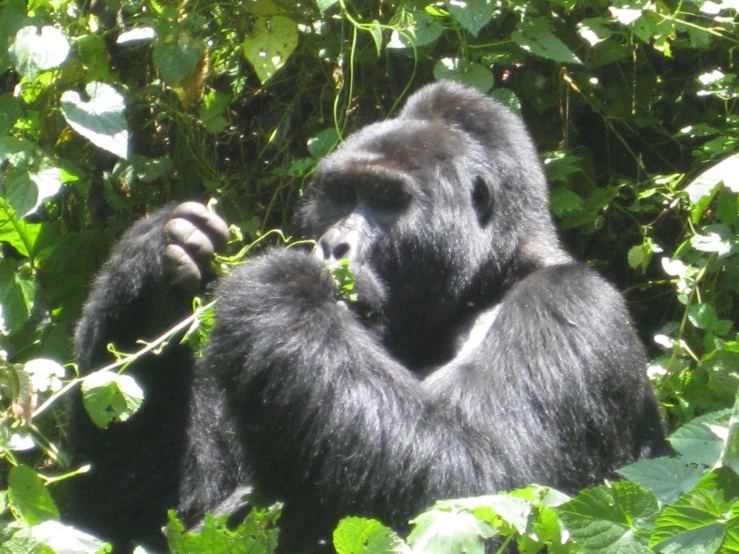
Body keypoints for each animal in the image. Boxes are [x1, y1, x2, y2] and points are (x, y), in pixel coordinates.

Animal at [71, 80, 664, 548]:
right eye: (339, 194)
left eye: (384, 197)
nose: (334, 245)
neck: (487, 280)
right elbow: (148, 517)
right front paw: (157, 262)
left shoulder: (570, 303)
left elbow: (481, 486)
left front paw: (282, 289)